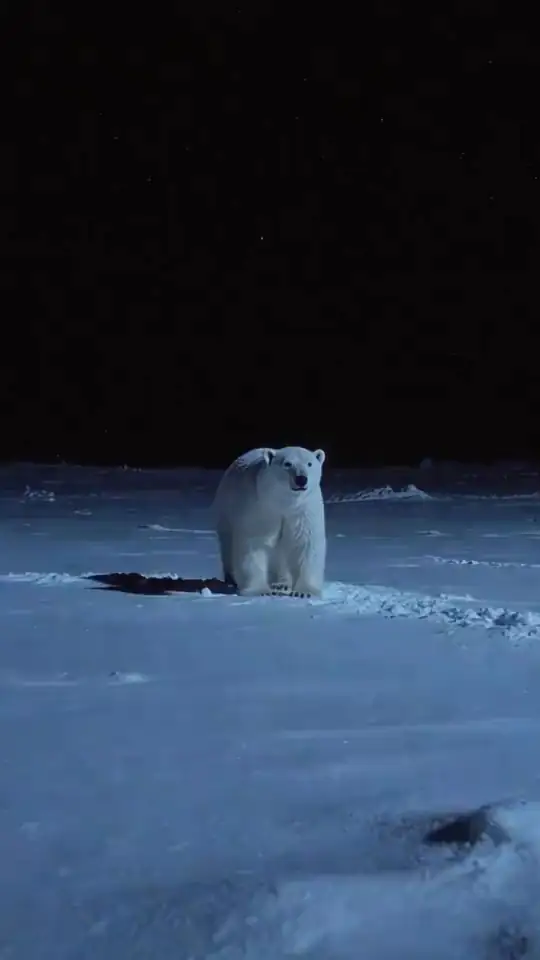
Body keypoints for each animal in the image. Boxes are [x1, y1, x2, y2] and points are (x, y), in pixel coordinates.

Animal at [213, 446, 327, 598]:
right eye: (287, 464)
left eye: (309, 463)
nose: (301, 479)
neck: (284, 502)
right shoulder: (261, 508)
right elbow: (254, 543)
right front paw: (259, 591)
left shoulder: (304, 510)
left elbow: (306, 543)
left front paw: (304, 592)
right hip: (225, 510)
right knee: (227, 544)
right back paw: (231, 579)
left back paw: (281, 583)